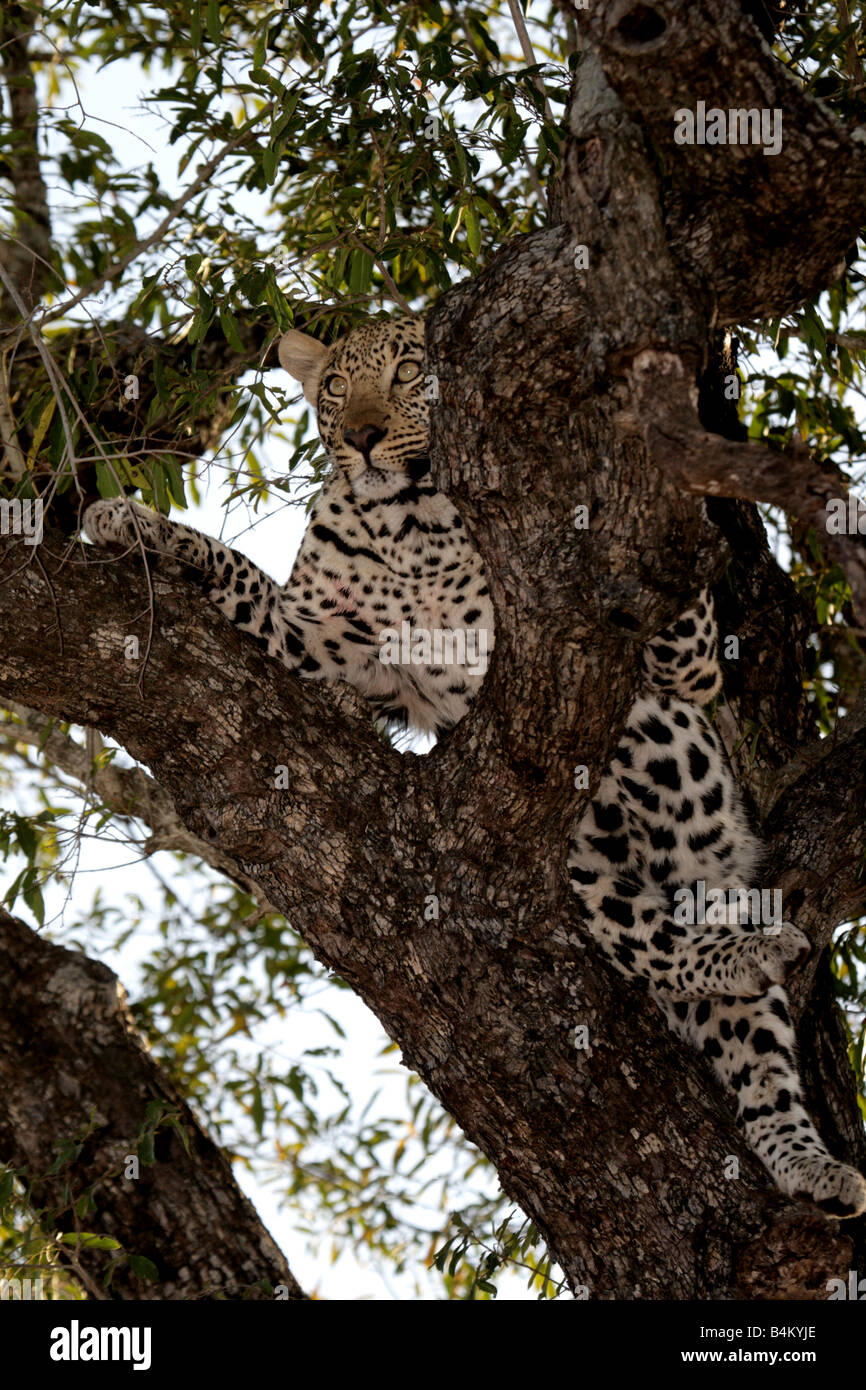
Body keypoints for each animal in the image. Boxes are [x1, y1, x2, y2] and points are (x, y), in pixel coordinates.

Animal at [84, 314, 866, 1219]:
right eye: (335, 388)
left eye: (409, 372)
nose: (362, 436)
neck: (407, 524)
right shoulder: (318, 641)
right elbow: (236, 568)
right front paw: (127, 520)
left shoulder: (682, 671)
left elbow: (679, 627)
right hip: (589, 866)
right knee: (652, 943)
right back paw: (755, 993)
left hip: (684, 817)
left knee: (748, 1040)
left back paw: (801, 1124)